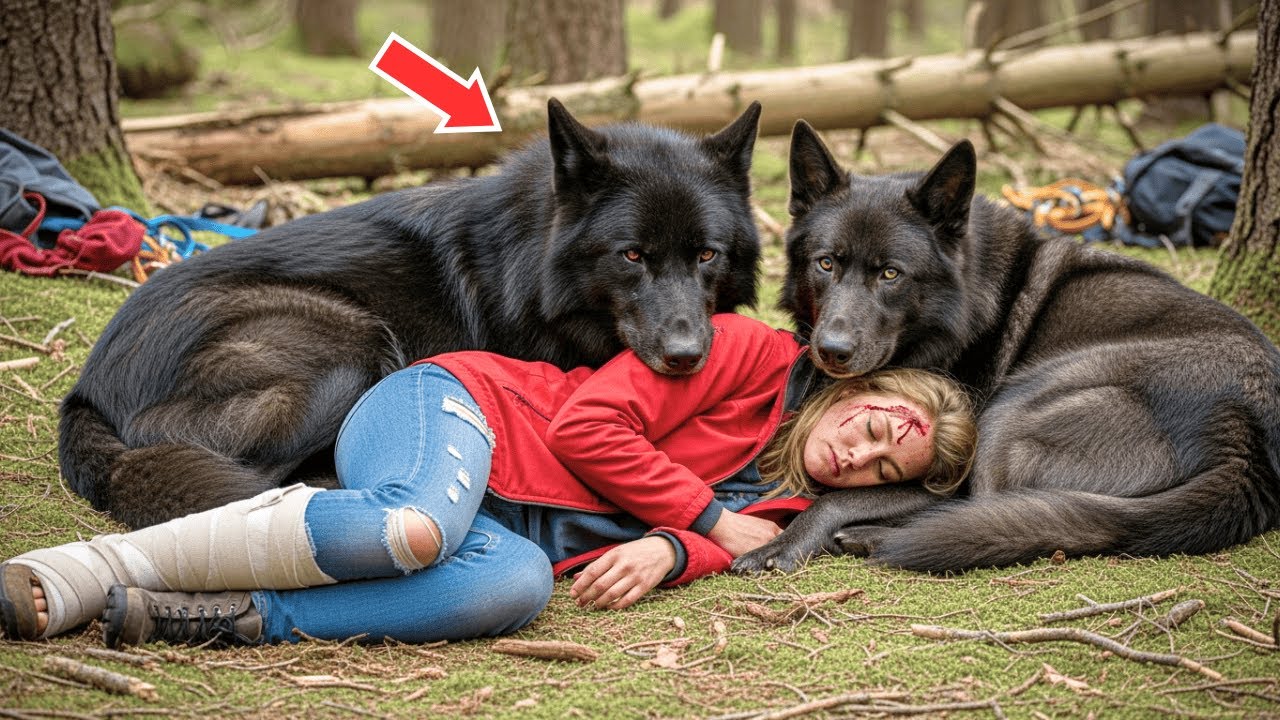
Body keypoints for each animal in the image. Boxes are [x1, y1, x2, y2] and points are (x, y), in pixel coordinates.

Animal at [60, 99, 764, 529]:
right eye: (632, 255)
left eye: (707, 254)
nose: (686, 357)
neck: (532, 266)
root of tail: (86, 391)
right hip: (349, 344)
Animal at [733, 121, 1280, 573]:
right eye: (826, 263)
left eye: (890, 273)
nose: (832, 350)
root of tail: (1247, 442)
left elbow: (835, 498)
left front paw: (784, 543)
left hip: (1019, 404)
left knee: (980, 505)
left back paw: (872, 536)